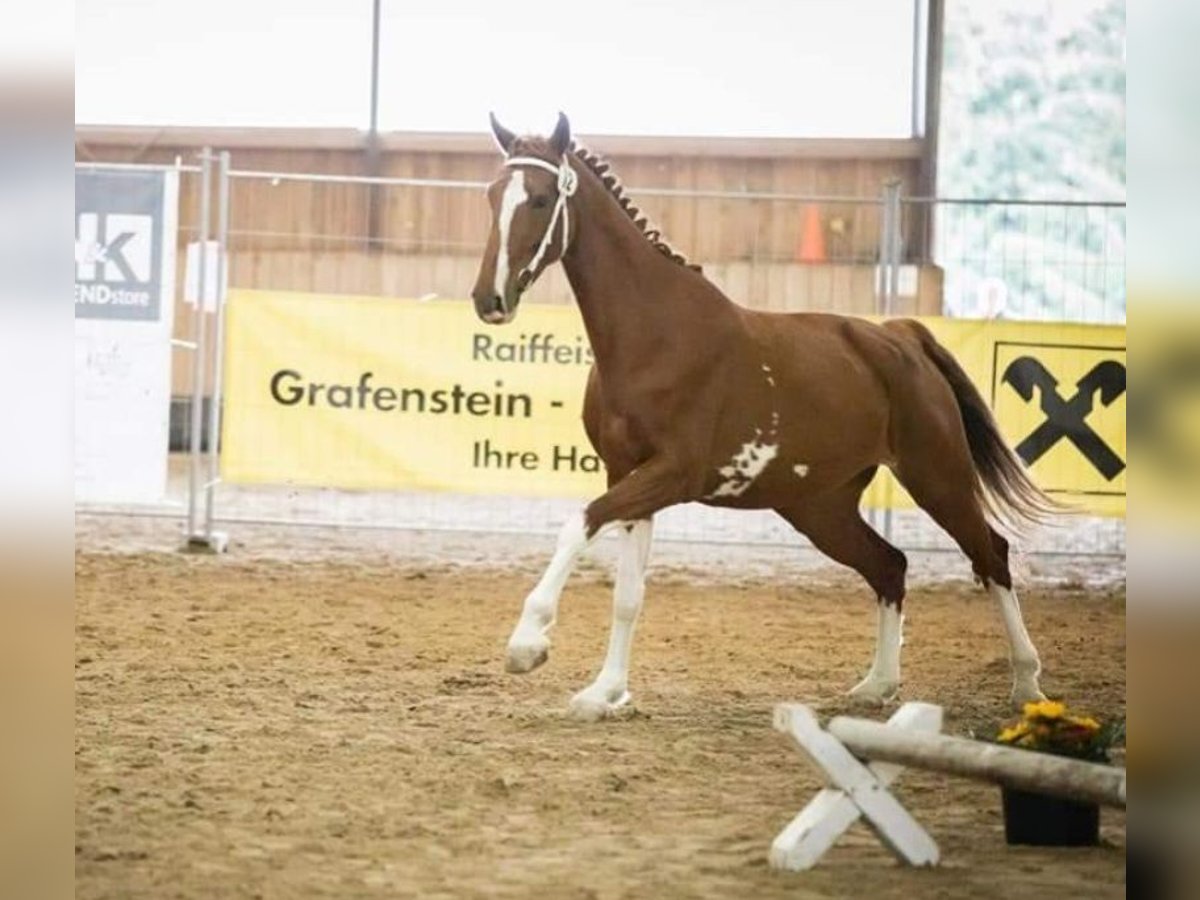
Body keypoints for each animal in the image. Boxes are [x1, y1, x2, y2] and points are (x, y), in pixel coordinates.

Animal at [472, 112, 1056, 724]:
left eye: (539, 199)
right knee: (890, 565)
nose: (490, 299)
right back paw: (877, 685)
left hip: (937, 478)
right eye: (492, 194)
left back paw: (1028, 686)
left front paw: (528, 645)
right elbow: (628, 593)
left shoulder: (671, 475)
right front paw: (604, 692)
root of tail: (903, 338)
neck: (653, 337)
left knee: (991, 556)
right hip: (819, 507)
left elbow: (578, 524)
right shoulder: (628, 476)